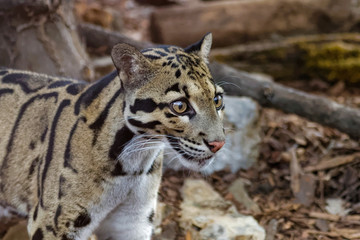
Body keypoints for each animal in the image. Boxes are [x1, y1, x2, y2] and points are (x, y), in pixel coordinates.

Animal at [0, 33, 225, 240]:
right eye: (180, 106)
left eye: (217, 100)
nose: (219, 144)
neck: (132, 164)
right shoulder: (54, 224)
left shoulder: (133, 220)